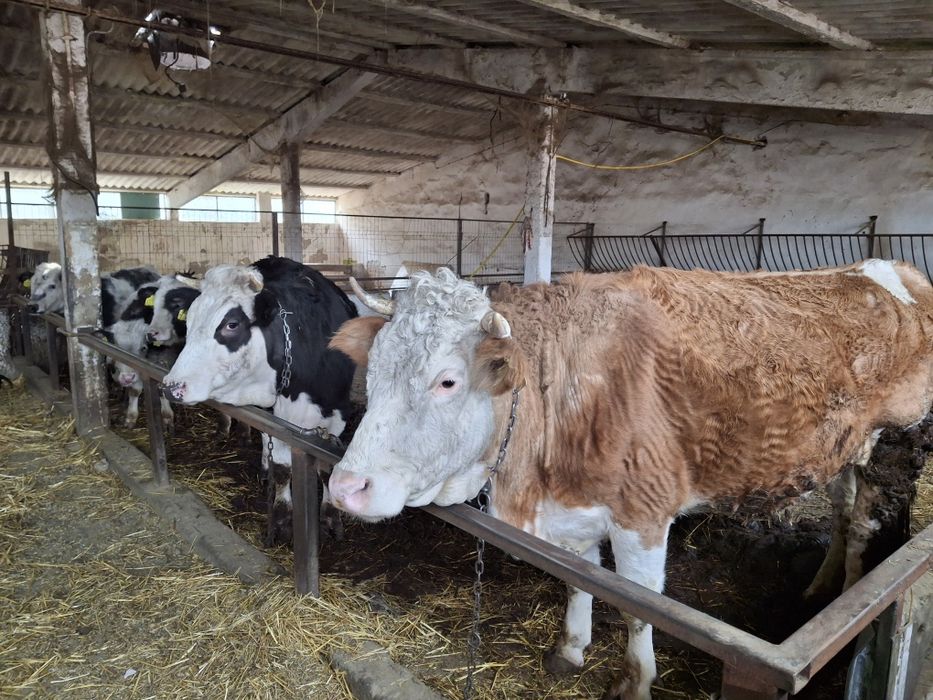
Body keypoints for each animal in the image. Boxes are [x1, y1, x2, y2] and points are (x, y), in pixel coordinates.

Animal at [162, 256, 358, 545]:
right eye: (189, 322)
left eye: (231, 324)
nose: (171, 386)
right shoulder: (275, 418)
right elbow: (282, 468)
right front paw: (281, 519)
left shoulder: (338, 412)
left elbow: (326, 469)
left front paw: (332, 519)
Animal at [327, 261, 933, 700]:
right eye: (374, 369)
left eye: (447, 381)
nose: (345, 487)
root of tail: (896, 271)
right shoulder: (573, 513)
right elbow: (579, 579)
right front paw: (571, 649)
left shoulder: (643, 512)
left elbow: (638, 604)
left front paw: (635, 681)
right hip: (841, 450)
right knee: (841, 510)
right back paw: (821, 586)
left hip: (897, 443)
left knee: (863, 525)